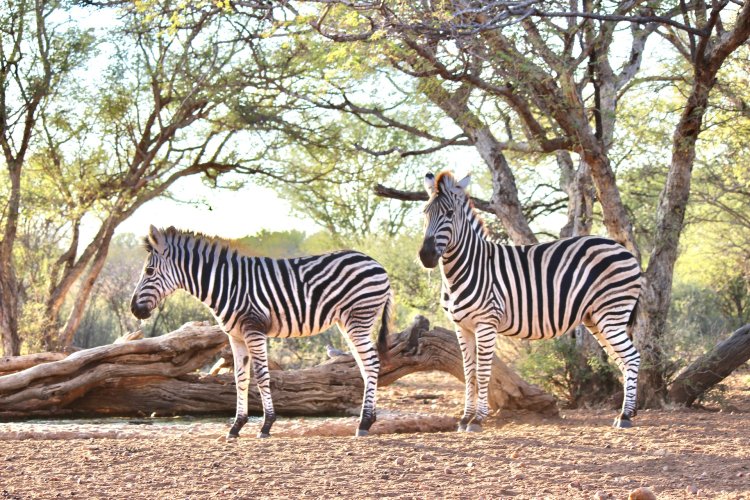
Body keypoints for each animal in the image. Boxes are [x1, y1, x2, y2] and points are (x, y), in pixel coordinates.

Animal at [130, 225, 392, 439]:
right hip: (349, 323)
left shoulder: (254, 329)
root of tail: (377, 263)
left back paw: (364, 423)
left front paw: (266, 425)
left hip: (358, 318)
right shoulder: (235, 336)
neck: (226, 284)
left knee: (372, 363)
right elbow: (240, 378)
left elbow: (262, 375)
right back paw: (368, 419)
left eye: (149, 271)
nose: (134, 309)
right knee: (365, 365)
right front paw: (236, 426)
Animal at [418, 172, 642, 431]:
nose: (426, 256)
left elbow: (483, 372)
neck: (468, 267)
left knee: (632, 358)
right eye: (425, 212)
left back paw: (625, 416)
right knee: (623, 361)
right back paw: (628, 412)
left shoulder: (486, 324)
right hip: (596, 318)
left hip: (611, 314)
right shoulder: (462, 326)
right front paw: (465, 418)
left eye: (450, 213)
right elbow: (469, 373)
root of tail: (624, 249)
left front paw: (478, 418)